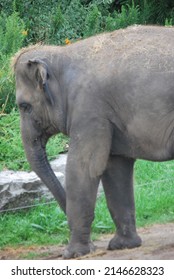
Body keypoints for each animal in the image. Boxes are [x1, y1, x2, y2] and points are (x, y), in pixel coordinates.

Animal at [12, 25, 174, 258]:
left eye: (24, 106)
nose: (95, 243)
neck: (62, 55)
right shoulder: (108, 117)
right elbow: (115, 168)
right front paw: (123, 245)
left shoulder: (89, 110)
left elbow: (83, 168)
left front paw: (73, 254)